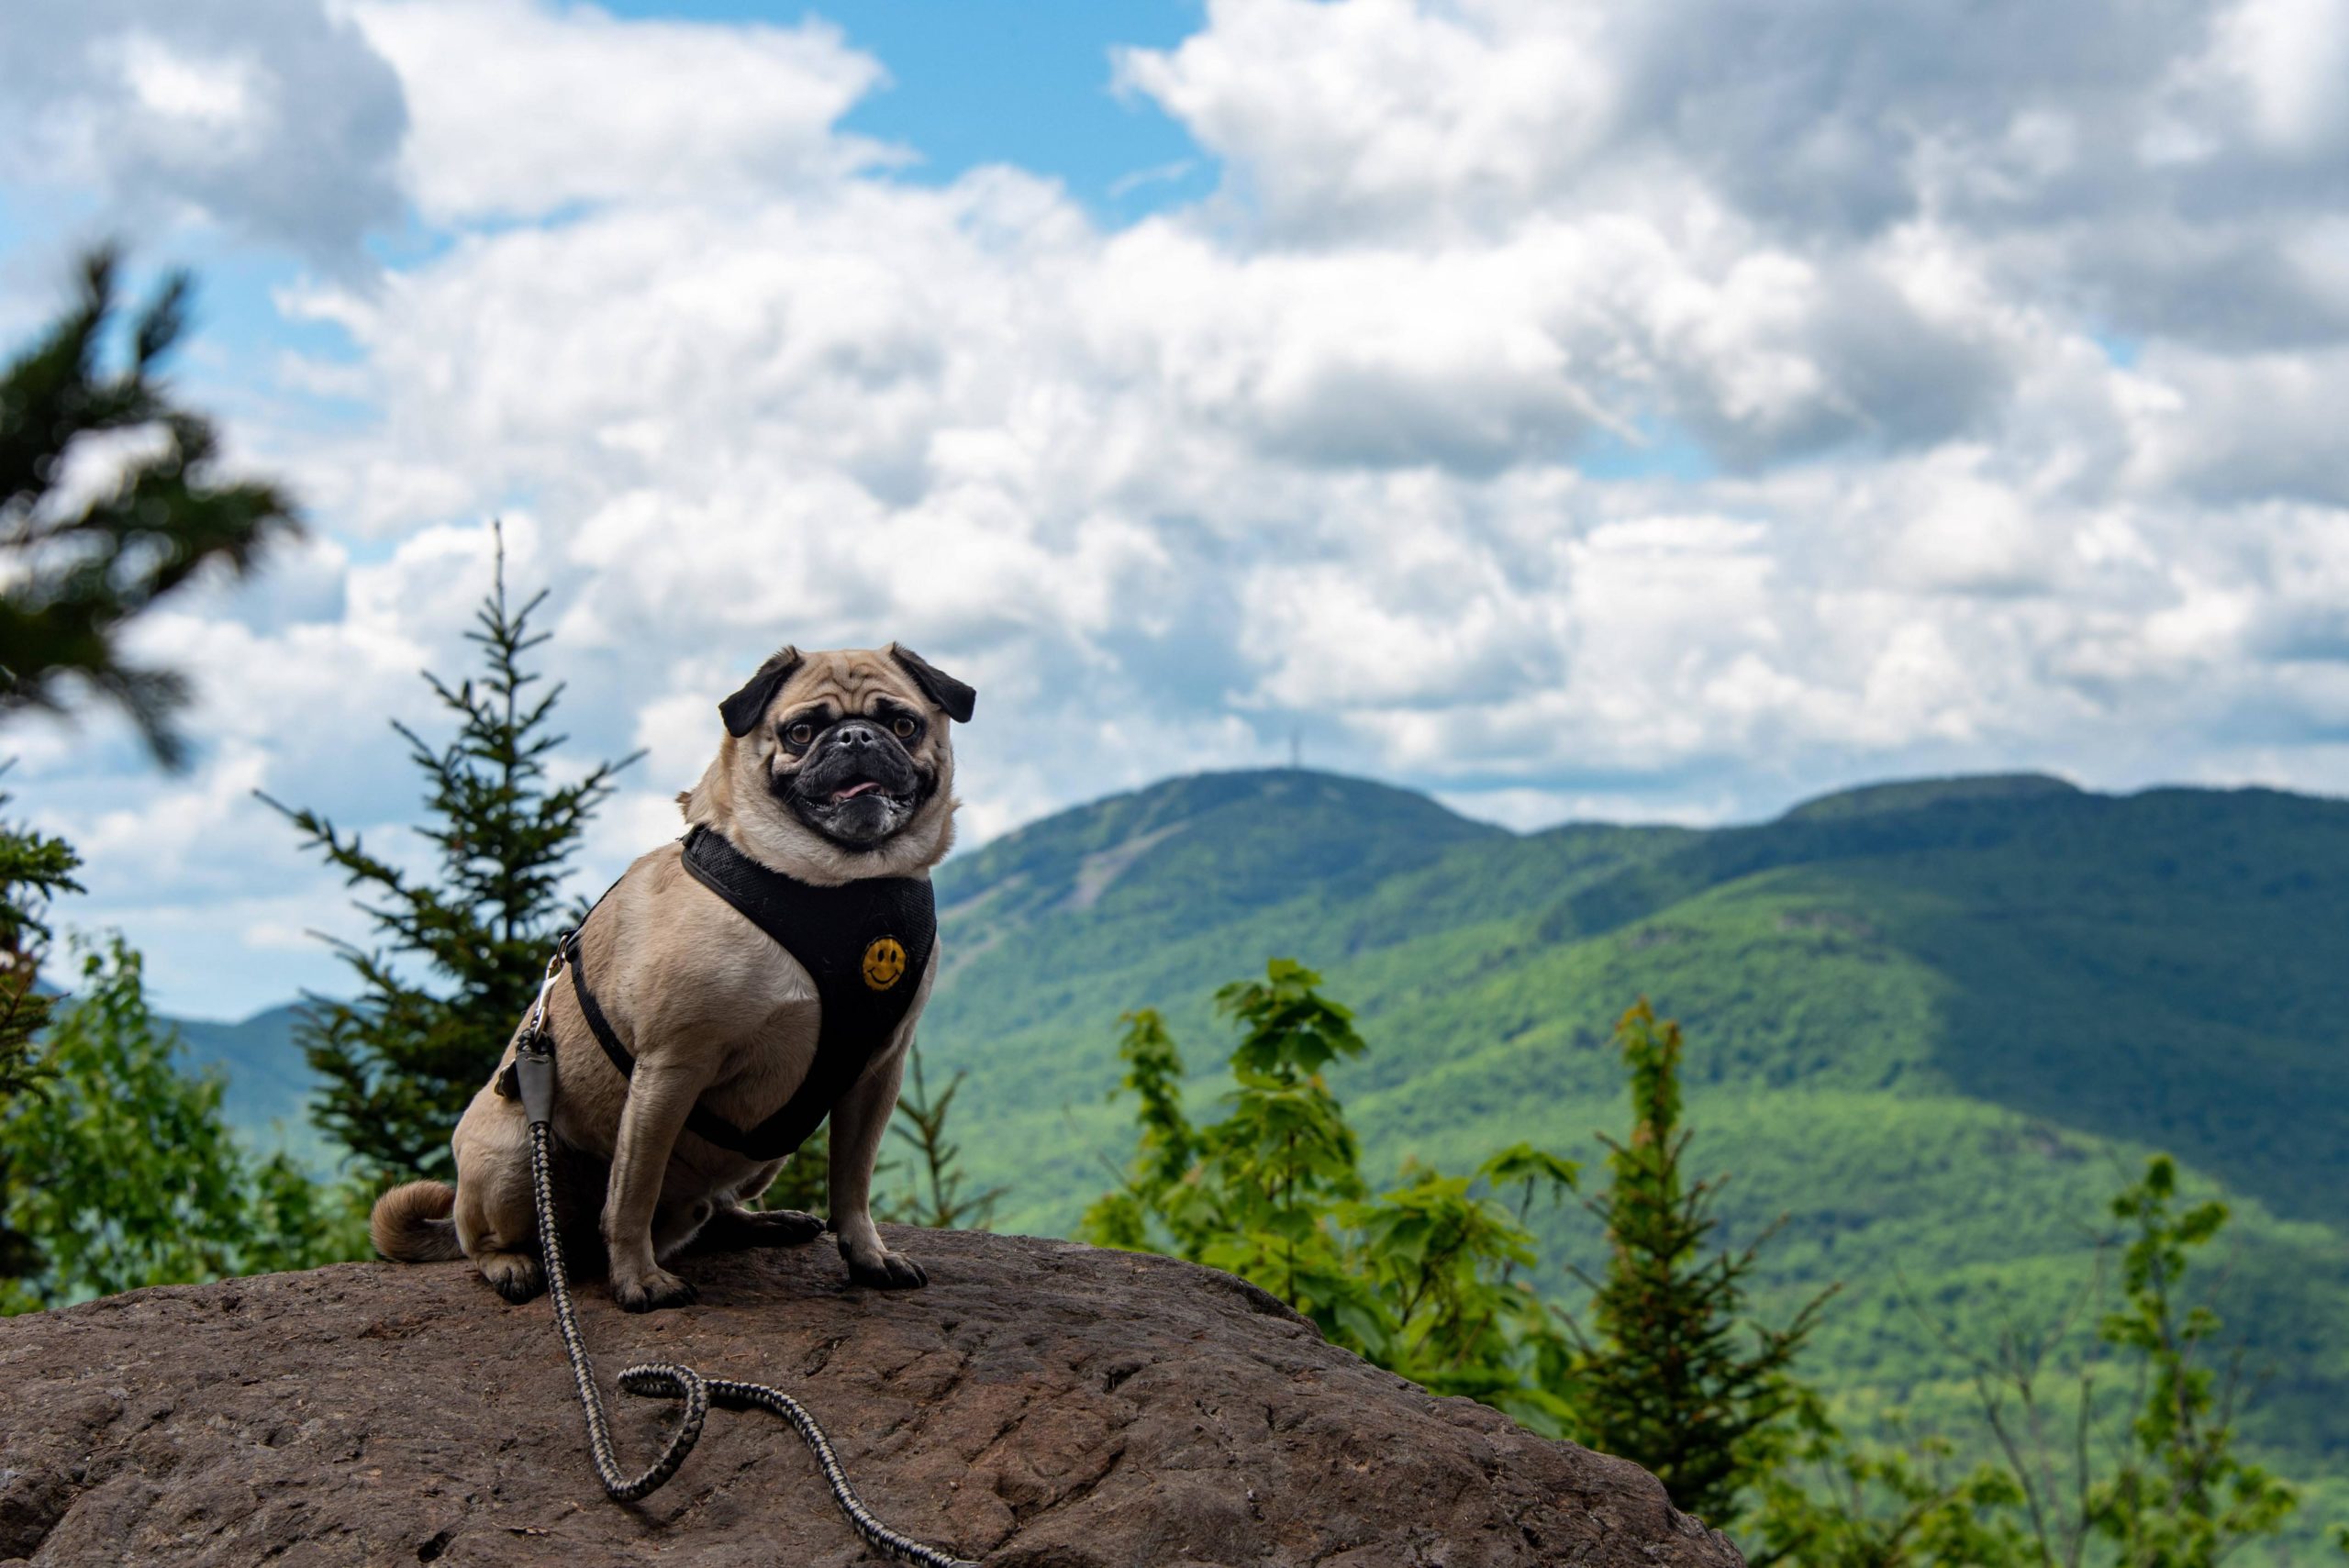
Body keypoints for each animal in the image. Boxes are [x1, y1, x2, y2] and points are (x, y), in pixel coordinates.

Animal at [373, 638, 972, 1314]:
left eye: (903, 724)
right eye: (800, 731)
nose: (854, 736)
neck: (840, 887)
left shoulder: (875, 1072)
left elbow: (852, 1179)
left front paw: (868, 1255)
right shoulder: (671, 1067)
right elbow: (633, 1191)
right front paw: (638, 1278)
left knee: (710, 1208)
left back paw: (759, 1221)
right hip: (516, 1156)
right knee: (490, 1238)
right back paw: (514, 1262)